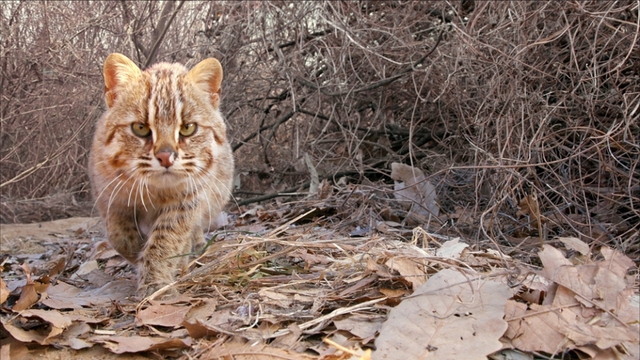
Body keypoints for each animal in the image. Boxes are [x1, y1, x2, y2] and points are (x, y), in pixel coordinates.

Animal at [87, 53, 232, 298]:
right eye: (140, 128)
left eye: (188, 128)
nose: (166, 157)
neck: (155, 190)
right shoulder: (109, 196)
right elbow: (119, 235)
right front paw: (137, 253)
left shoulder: (188, 199)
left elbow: (166, 241)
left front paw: (155, 280)